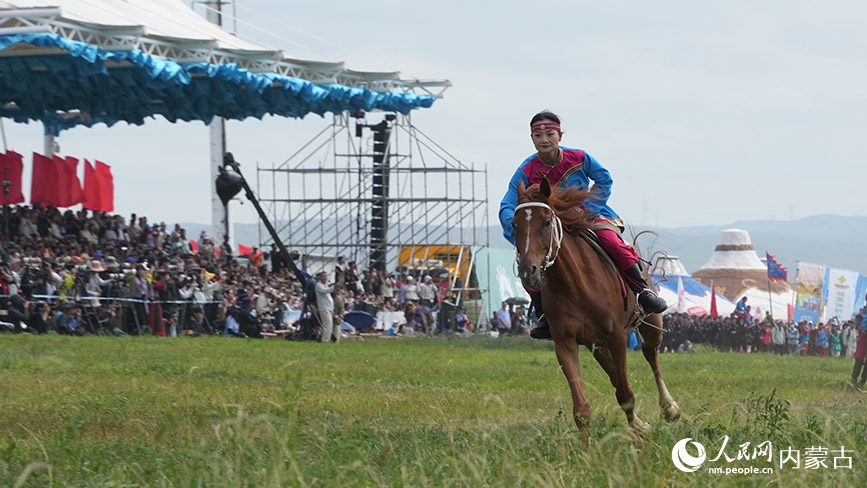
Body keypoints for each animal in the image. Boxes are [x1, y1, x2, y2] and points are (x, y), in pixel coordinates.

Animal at [512, 178, 681, 442]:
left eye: (547, 222)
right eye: (514, 224)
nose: (528, 270)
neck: (575, 284)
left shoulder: (617, 336)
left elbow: (626, 395)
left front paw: (637, 440)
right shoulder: (565, 343)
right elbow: (582, 408)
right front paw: (587, 450)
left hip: (651, 323)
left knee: (649, 352)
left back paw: (670, 408)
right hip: (596, 344)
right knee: (615, 375)